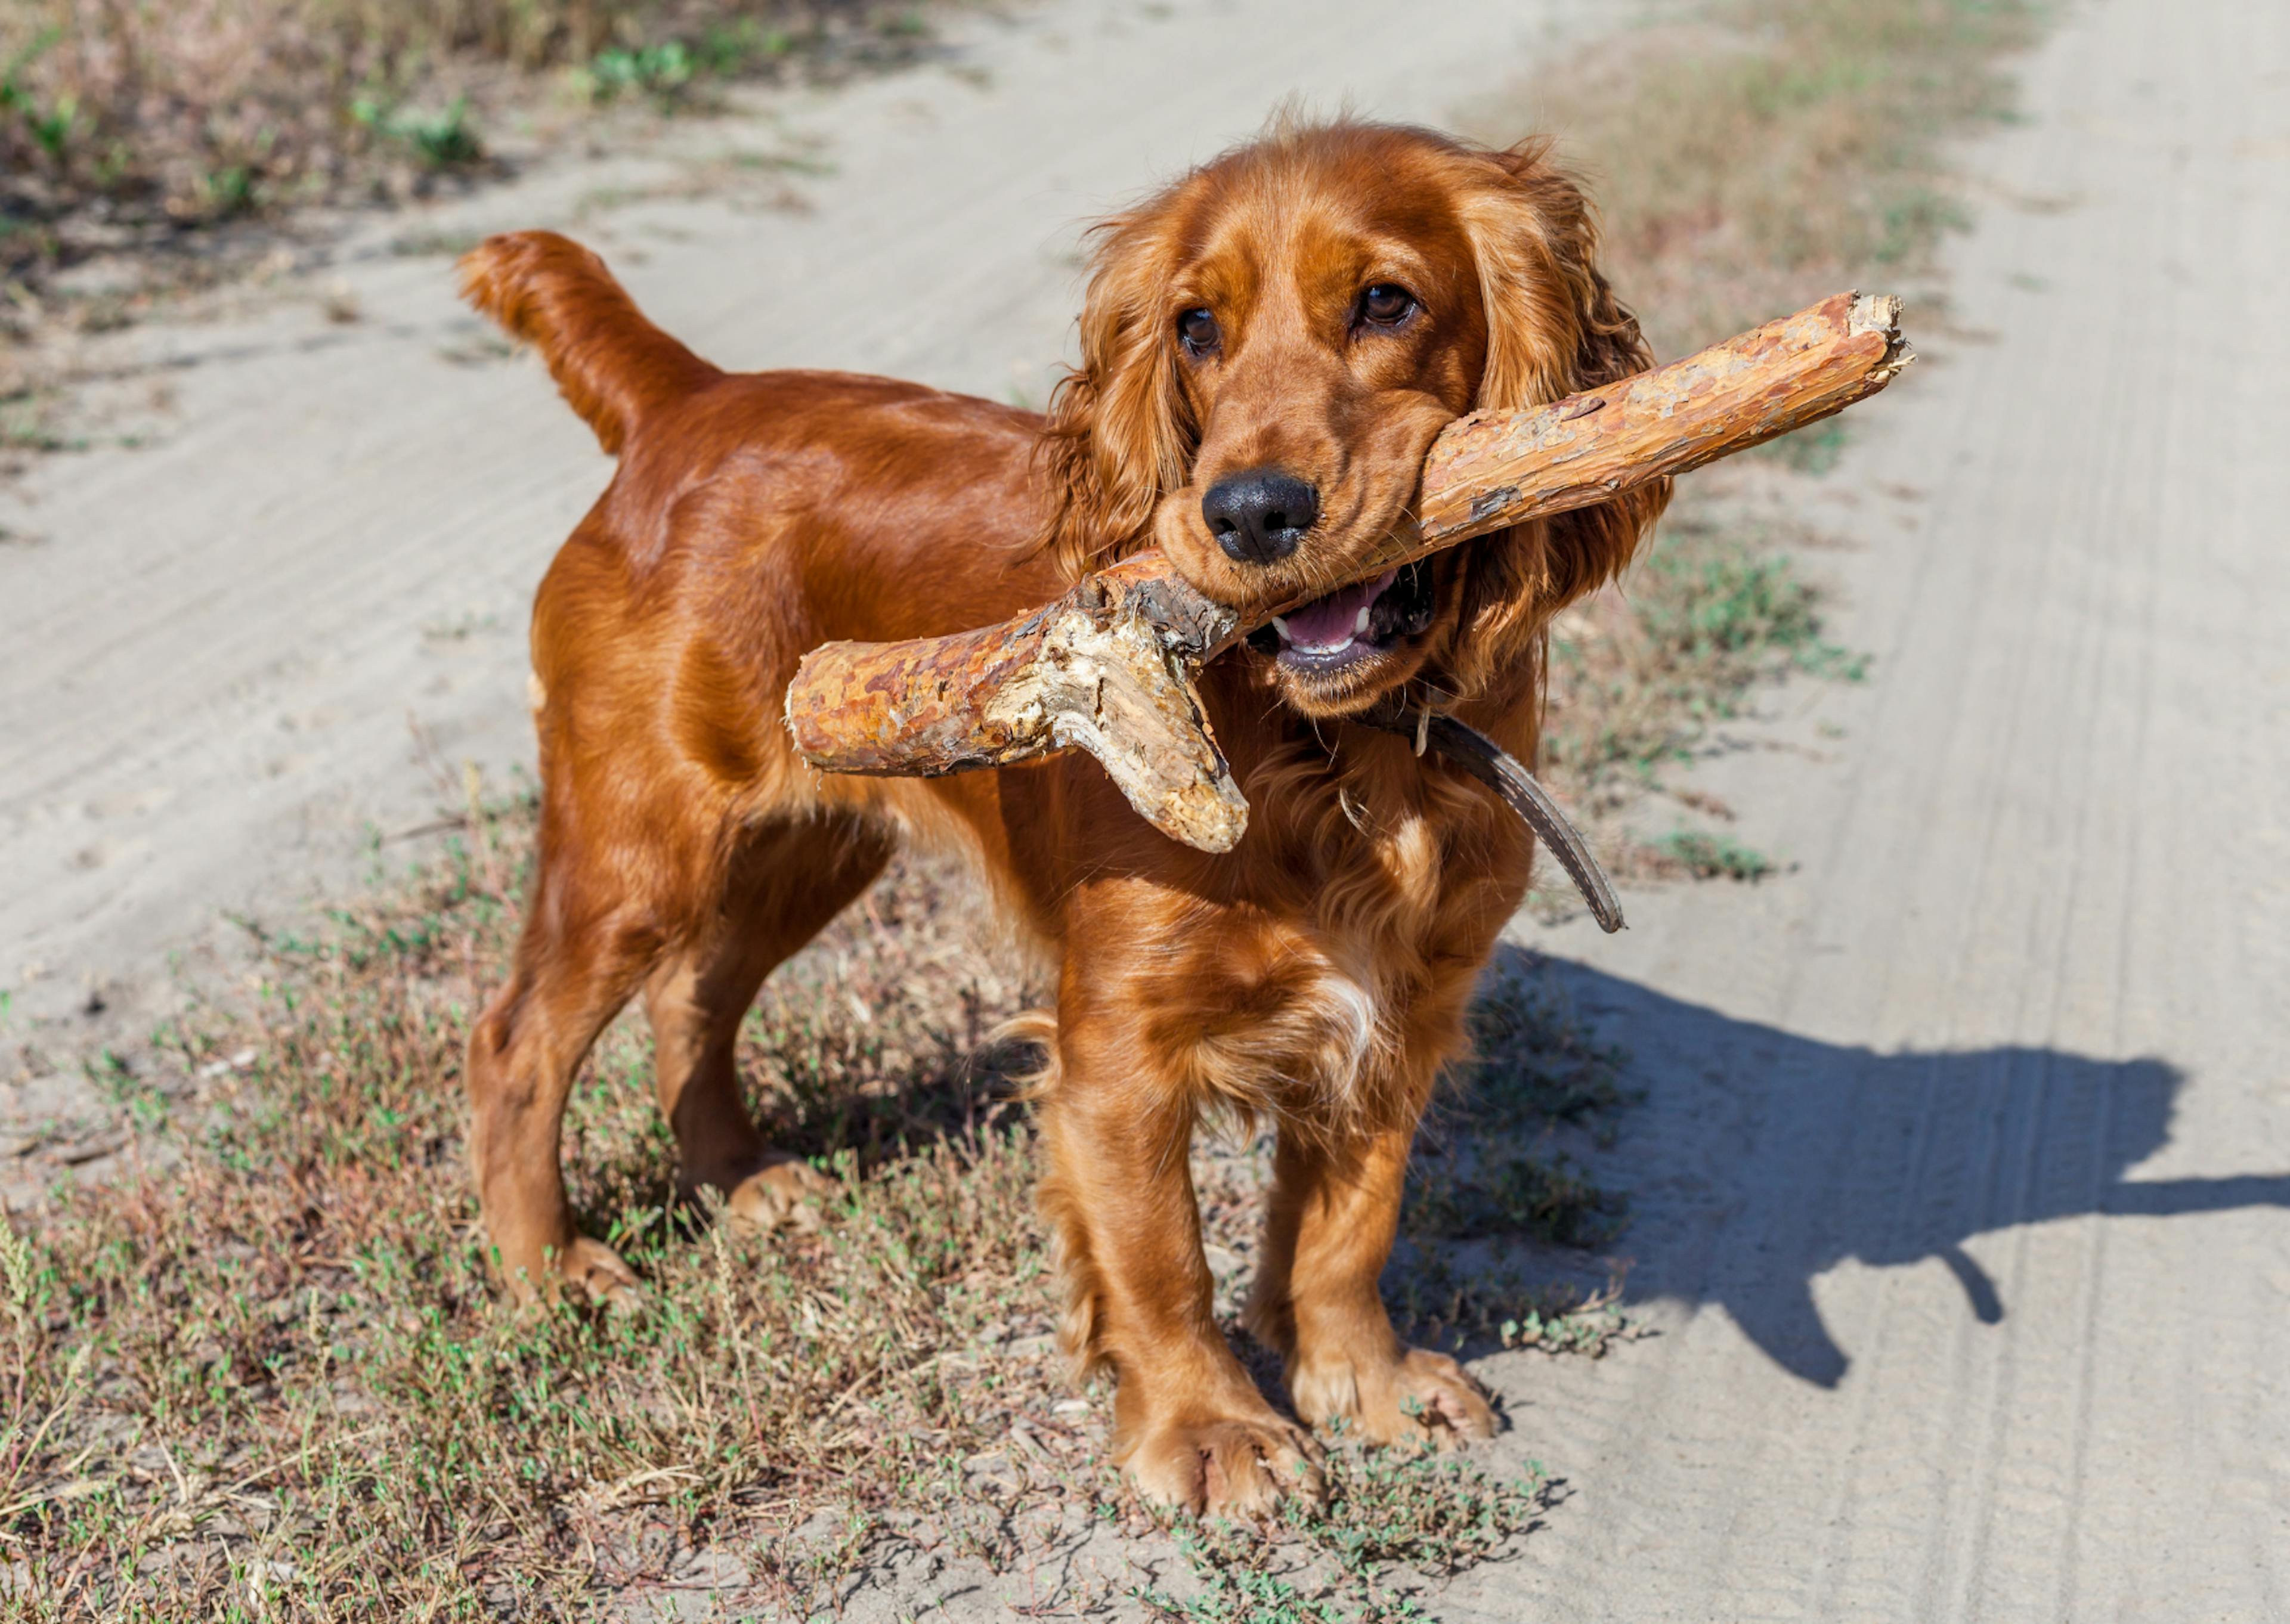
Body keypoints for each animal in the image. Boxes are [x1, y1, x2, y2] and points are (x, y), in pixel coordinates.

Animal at [456, 117, 1667, 1521]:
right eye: (1195, 327)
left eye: (1386, 302)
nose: (1249, 511)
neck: (1341, 750)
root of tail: (688, 398)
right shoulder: (1118, 1047)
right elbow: (1162, 1255)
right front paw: (1212, 1428)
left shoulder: (1405, 1007)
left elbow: (1348, 1229)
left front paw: (1361, 1382)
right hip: (641, 845)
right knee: (517, 1042)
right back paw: (549, 1272)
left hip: (812, 844)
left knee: (692, 997)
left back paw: (741, 1181)